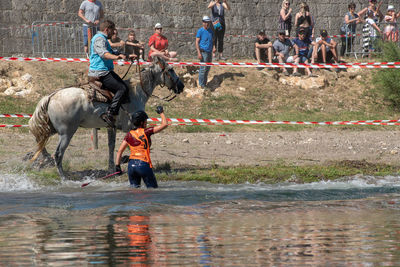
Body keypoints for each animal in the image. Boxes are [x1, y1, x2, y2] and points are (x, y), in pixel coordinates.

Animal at [29, 56, 184, 180]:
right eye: (171, 69)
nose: (181, 86)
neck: (135, 92)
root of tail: (51, 96)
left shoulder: (111, 127)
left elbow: (111, 146)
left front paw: (112, 168)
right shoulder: (132, 126)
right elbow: (139, 144)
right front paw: (126, 160)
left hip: (54, 129)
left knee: (40, 141)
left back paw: (45, 159)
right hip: (66, 133)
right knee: (58, 154)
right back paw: (63, 177)